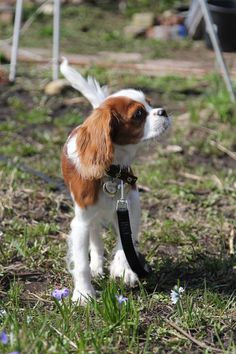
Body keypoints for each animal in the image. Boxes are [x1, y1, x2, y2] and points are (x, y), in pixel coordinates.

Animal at [60, 59, 171, 302]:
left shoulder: (130, 205)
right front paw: (83, 294)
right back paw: (96, 266)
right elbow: (81, 263)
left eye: (150, 104)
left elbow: (126, 239)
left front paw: (124, 268)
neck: (111, 171)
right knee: (95, 236)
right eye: (139, 114)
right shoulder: (80, 221)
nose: (164, 111)